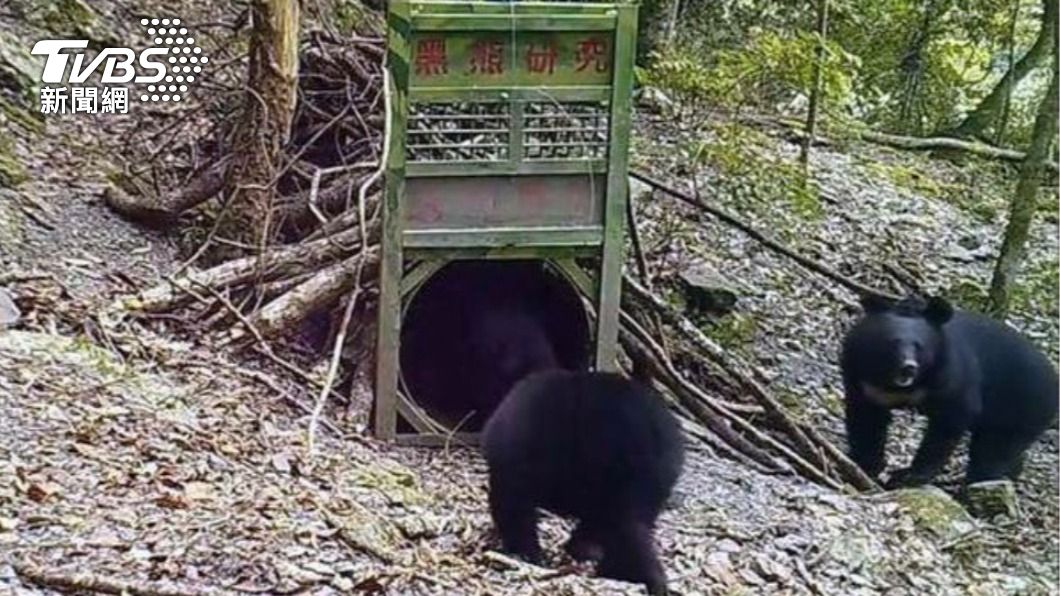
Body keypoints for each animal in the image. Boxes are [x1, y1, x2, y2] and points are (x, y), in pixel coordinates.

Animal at [841, 293, 1059, 489]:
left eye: (919, 346)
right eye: (892, 342)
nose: (908, 367)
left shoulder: (951, 375)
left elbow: (950, 419)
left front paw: (907, 476)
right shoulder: (861, 374)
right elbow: (866, 417)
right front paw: (866, 463)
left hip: (1023, 404)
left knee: (993, 449)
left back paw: (980, 482)